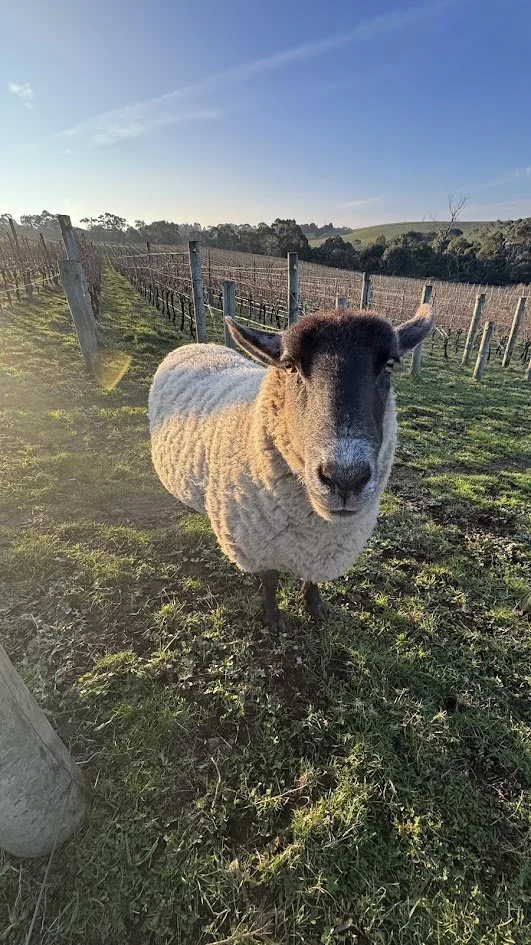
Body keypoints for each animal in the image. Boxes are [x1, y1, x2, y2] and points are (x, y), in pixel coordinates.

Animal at [148, 304, 434, 629]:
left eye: (389, 364)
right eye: (289, 365)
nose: (345, 479)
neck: (315, 527)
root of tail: (197, 345)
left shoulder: (320, 550)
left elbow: (312, 579)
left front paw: (314, 607)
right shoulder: (258, 543)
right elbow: (270, 580)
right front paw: (273, 619)